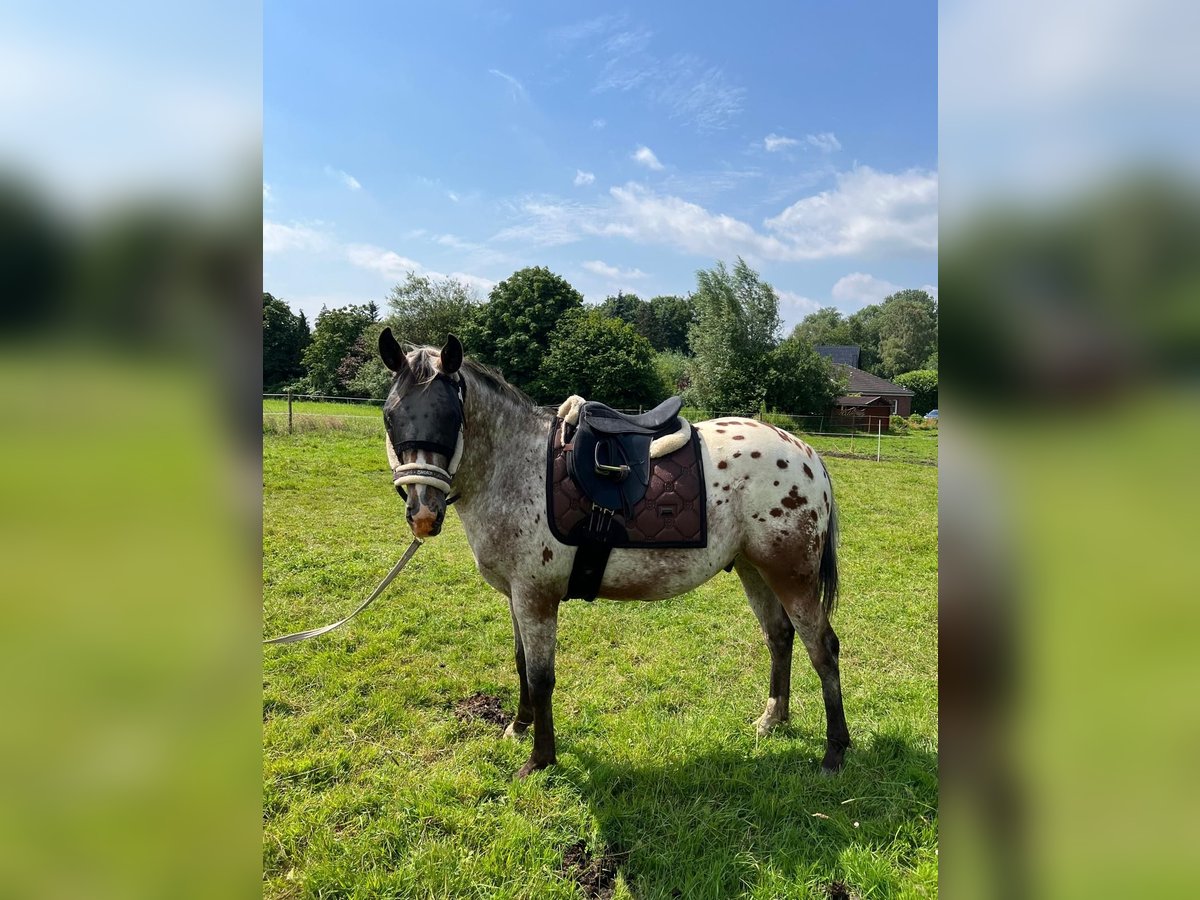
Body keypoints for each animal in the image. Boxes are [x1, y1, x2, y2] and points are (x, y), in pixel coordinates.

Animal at [379, 331, 849, 782]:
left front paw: (540, 760)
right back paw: (773, 719)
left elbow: (541, 677)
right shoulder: (516, 597)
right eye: (390, 416)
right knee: (780, 636)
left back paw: (834, 752)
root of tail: (807, 455)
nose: (423, 512)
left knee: (823, 648)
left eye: (450, 416)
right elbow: (521, 665)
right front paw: (519, 726)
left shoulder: (536, 598)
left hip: (792, 576)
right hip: (755, 570)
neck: (514, 468)